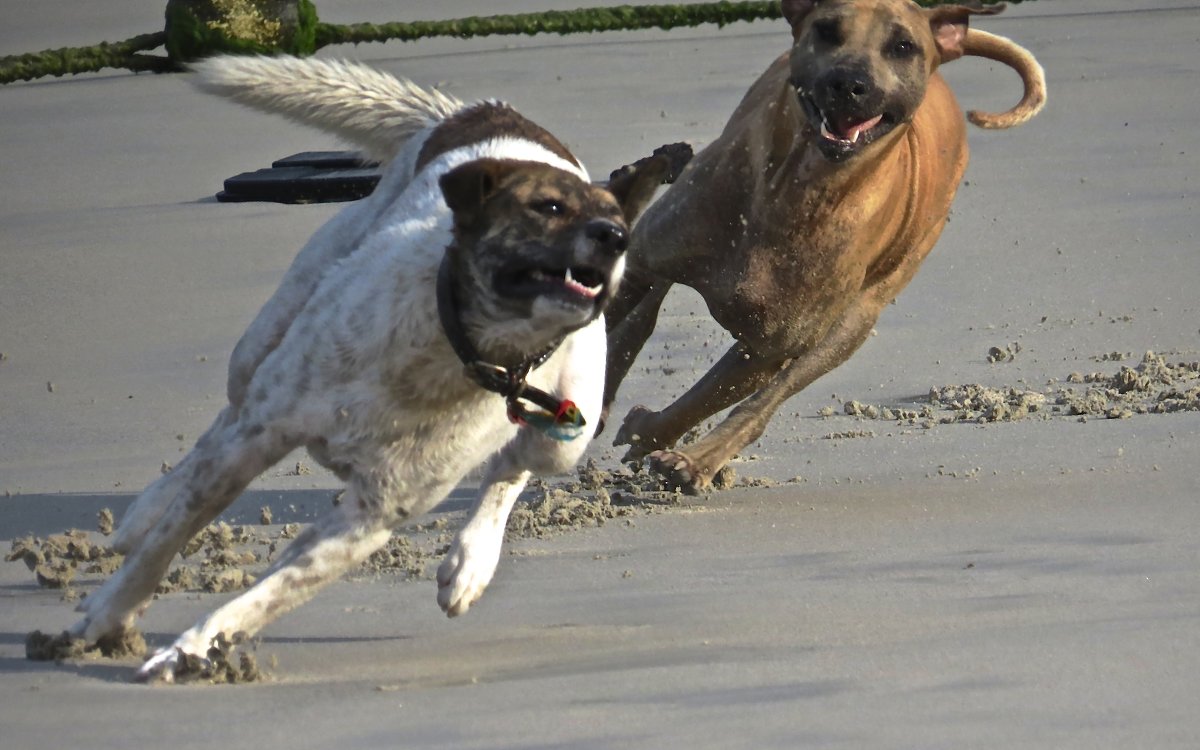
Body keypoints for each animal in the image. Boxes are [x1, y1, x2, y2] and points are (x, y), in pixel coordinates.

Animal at [58, 55, 667, 681]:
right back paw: (145, 512)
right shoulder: (259, 435)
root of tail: (486, 112)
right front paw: (105, 618)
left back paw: (470, 562)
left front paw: (192, 649)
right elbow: (165, 545)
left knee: (514, 467)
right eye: (547, 207)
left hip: (569, 427)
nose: (618, 238)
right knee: (219, 423)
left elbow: (264, 597)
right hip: (261, 344)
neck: (453, 351)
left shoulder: (370, 518)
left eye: (613, 219)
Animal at [604, 0, 1046, 492]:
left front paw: (682, 455)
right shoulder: (651, 257)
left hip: (855, 318)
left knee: (766, 391)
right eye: (826, 30)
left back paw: (685, 453)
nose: (848, 84)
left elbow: (734, 395)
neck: (798, 191)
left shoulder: (772, 345)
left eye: (903, 46)